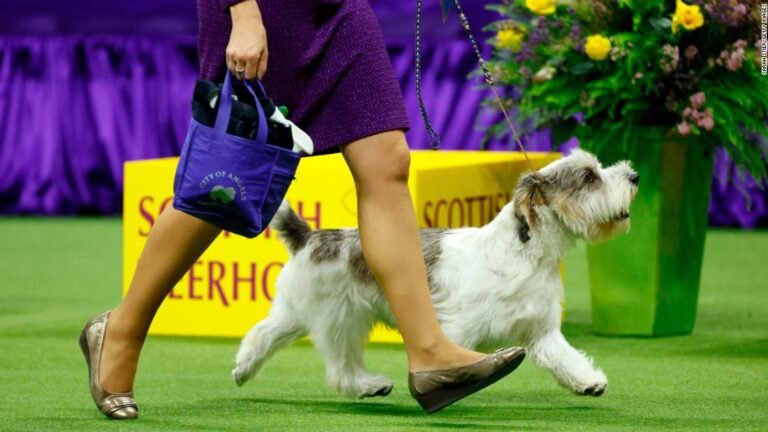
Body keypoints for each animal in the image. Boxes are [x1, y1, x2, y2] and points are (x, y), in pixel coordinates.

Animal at [231, 150, 640, 400]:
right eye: (589, 177)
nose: (634, 174)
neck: (525, 255)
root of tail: (311, 235)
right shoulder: (455, 330)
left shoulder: (541, 332)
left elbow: (565, 357)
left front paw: (588, 382)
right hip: (339, 319)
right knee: (338, 367)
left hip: (301, 313)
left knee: (264, 335)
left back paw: (244, 369)